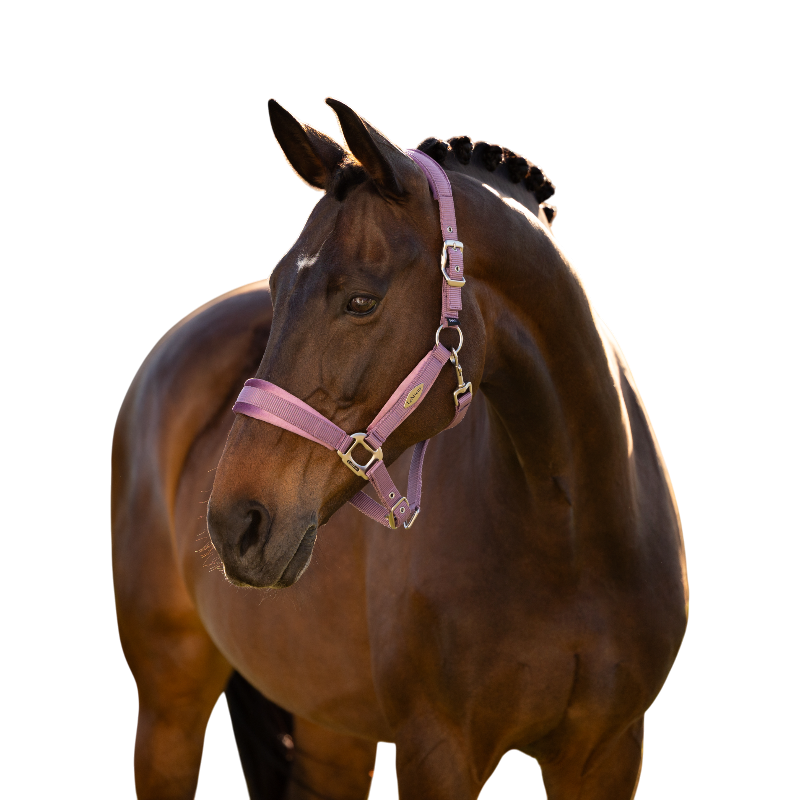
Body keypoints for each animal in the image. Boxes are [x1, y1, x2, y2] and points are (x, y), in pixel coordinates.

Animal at [111, 97, 689, 799]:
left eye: (362, 300)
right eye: (276, 288)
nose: (235, 523)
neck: (572, 538)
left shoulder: (608, 753)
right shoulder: (437, 752)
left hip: (329, 729)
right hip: (169, 709)